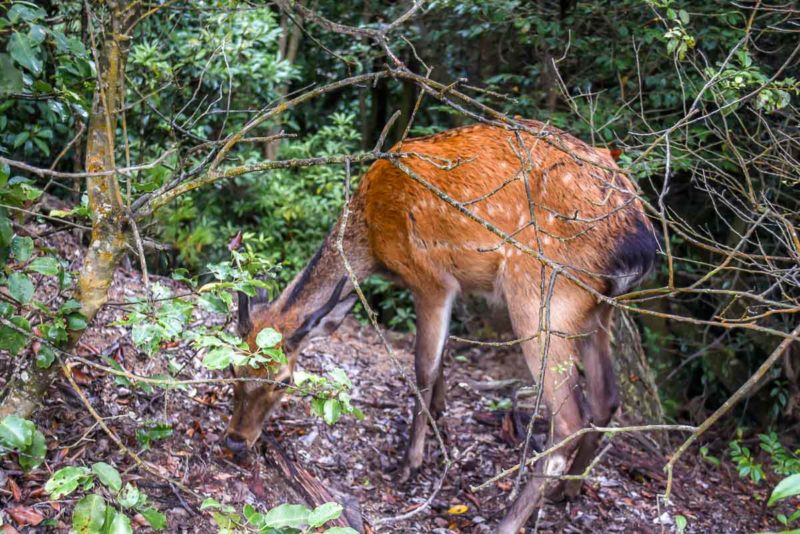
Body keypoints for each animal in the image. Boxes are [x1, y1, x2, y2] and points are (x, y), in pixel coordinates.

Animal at [223, 119, 656, 532]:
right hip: (599, 309)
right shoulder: (456, 285)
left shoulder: (431, 278)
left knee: (568, 419)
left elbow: (423, 369)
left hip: (543, 295)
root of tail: (639, 241)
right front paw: (441, 418)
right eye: (231, 368)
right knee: (607, 396)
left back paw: (508, 521)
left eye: (284, 381)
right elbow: (442, 359)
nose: (237, 440)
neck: (371, 237)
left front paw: (410, 463)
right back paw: (571, 490)